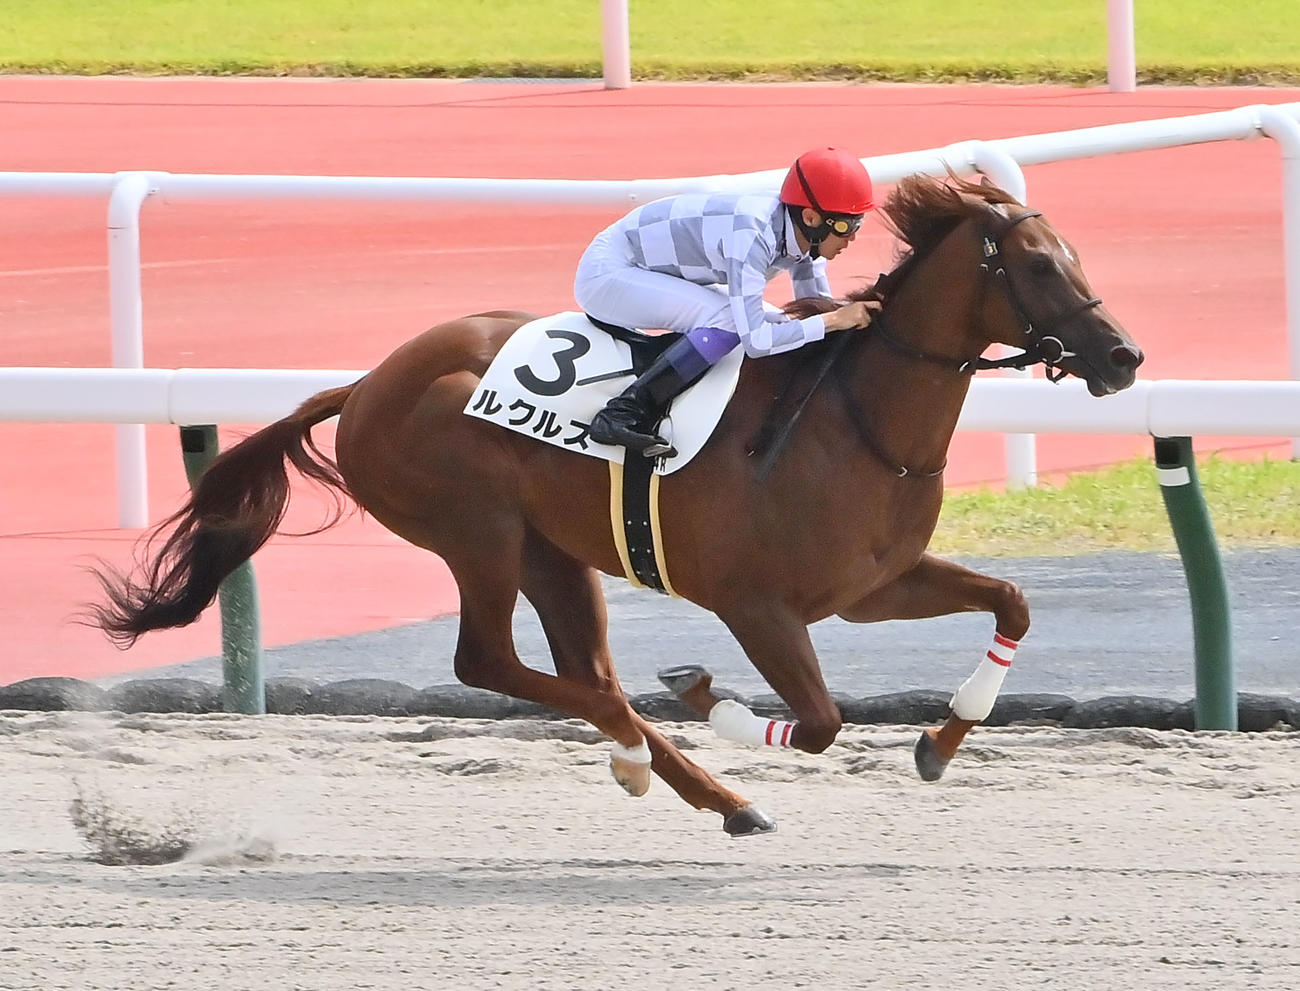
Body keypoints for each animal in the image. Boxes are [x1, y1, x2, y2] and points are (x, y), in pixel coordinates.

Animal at [91, 172, 1143, 836]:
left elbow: (1012, 602)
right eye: (1039, 265)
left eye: (1076, 256)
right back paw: (663, 753)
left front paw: (938, 741)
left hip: (554, 549)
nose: (1125, 356)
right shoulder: (757, 605)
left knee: (584, 671)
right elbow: (818, 721)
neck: (855, 421)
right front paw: (714, 696)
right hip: (475, 529)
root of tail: (366, 384)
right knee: (490, 662)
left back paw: (685, 780)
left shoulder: (872, 586)